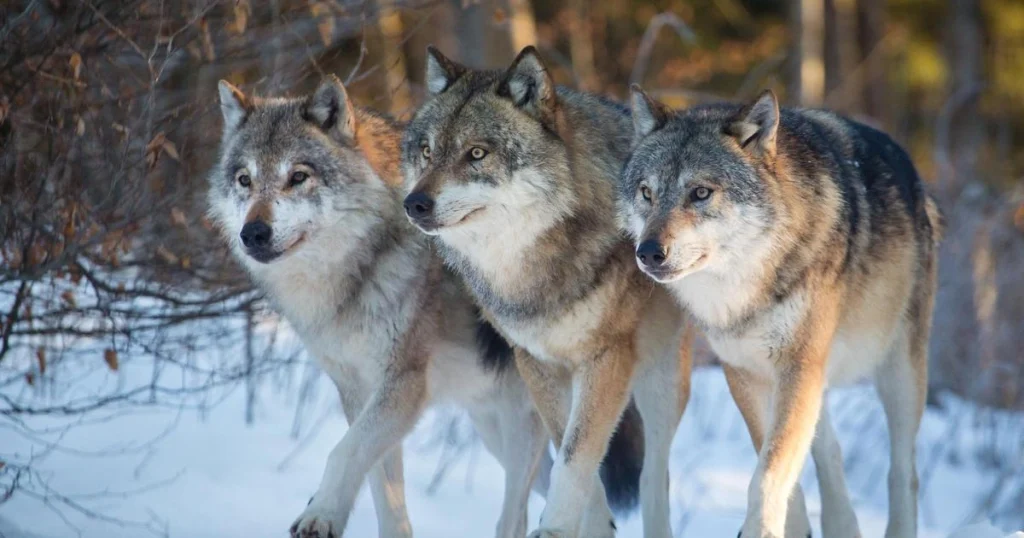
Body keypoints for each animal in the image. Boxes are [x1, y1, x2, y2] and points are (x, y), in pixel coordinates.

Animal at [209, 75, 563, 538]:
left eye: (298, 177)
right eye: (244, 180)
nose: (253, 233)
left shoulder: (403, 384)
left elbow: (342, 452)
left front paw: (320, 513)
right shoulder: (358, 391)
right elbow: (381, 489)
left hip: (526, 423)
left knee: (521, 512)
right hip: (496, 427)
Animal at [402, 46, 693, 538]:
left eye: (476, 153)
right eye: (426, 151)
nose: (413, 204)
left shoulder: (606, 359)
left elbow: (577, 455)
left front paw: (556, 527)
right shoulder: (535, 362)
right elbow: (571, 451)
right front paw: (592, 526)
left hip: (661, 381)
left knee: (656, 475)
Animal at [623, 87, 942, 538]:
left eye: (700, 193)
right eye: (647, 193)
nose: (648, 252)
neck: (746, 286)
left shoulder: (797, 365)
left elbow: (768, 472)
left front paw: (761, 528)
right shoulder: (745, 371)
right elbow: (772, 459)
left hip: (897, 372)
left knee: (903, 471)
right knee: (829, 451)